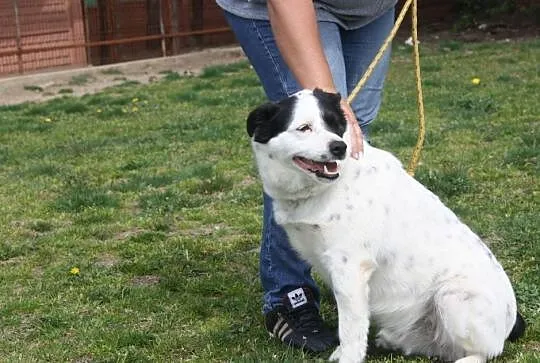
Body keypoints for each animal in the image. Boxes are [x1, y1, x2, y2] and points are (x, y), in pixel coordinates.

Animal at [247, 89, 524, 363]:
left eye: (336, 125)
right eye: (304, 128)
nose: (339, 147)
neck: (326, 189)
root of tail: (510, 320)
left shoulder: (350, 269)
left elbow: (351, 329)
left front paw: (348, 355)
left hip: (451, 296)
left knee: (485, 352)